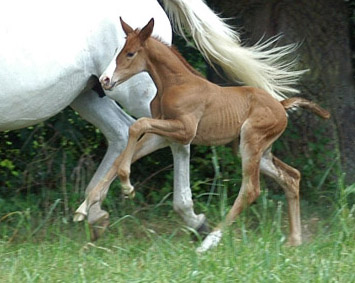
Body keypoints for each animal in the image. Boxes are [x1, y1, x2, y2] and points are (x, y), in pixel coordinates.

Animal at [98, 18, 330, 253]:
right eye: (117, 50)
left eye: (130, 53)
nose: (104, 79)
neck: (175, 83)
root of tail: (282, 106)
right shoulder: (164, 135)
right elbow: (129, 145)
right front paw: (95, 201)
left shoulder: (185, 130)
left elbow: (138, 125)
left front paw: (127, 186)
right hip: (256, 150)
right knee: (291, 176)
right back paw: (294, 240)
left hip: (251, 140)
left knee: (251, 189)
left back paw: (209, 242)